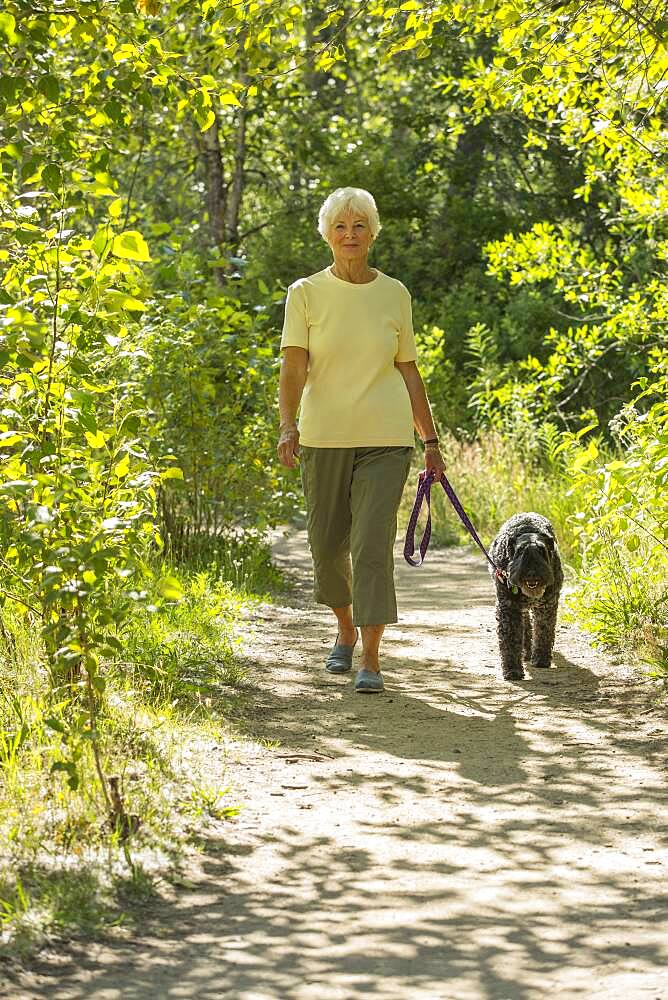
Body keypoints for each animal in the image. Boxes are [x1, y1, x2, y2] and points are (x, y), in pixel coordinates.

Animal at [490, 516, 564, 680]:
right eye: (520, 551)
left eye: (542, 550)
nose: (532, 573)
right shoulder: (509, 608)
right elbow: (510, 638)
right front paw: (512, 670)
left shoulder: (547, 606)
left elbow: (543, 631)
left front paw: (541, 659)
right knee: (525, 624)